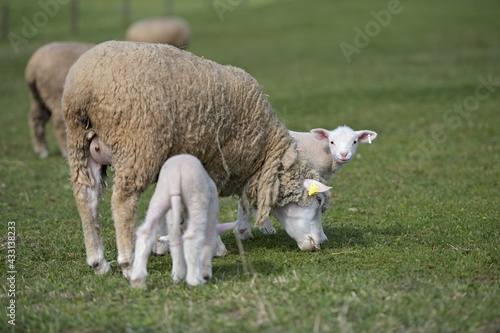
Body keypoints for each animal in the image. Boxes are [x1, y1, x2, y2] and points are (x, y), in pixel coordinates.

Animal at [131, 154, 221, 286]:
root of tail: (176, 172)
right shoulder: (211, 215)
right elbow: (208, 243)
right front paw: (205, 273)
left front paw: (179, 274)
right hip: (196, 199)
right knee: (191, 237)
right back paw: (194, 281)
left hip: (160, 197)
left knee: (146, 232)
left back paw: (138, 280)